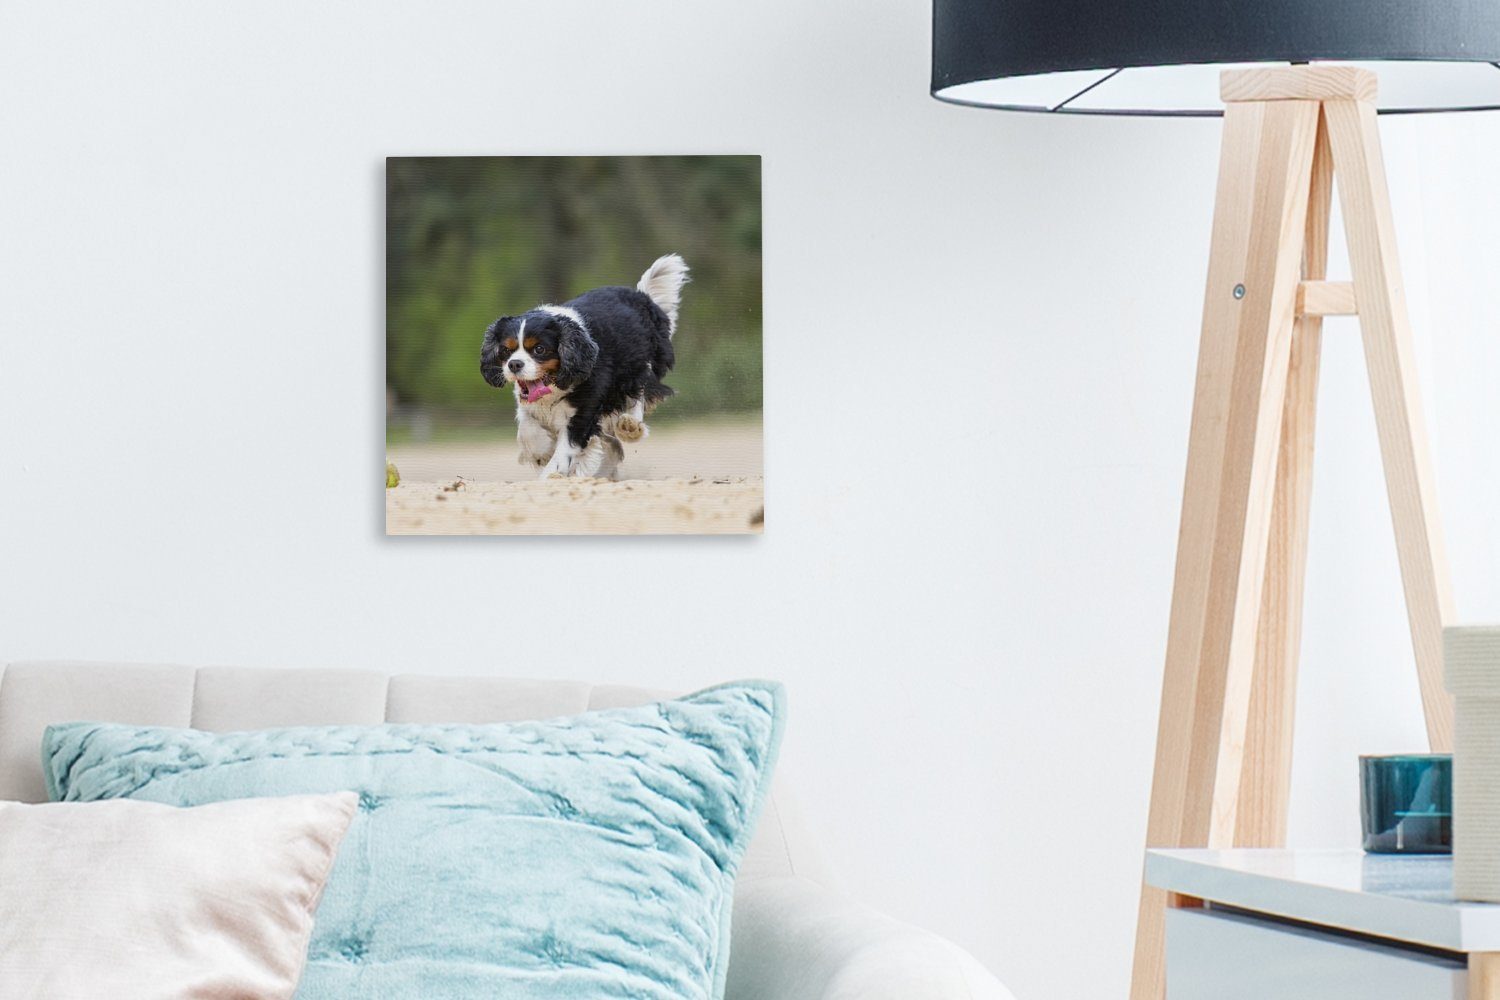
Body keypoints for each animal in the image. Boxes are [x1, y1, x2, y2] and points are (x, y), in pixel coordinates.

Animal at [483, 256, 687, 479]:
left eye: (539, 349)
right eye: (505, 350)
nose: (514, 364)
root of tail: (642, 296)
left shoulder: (582, 413)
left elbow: (565, 449)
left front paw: (551, 474)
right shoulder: (529, 405)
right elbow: (528, 429)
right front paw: (541, 452)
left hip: (637, 370)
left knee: (639, 395)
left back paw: (630, 427)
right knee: (612, 442)